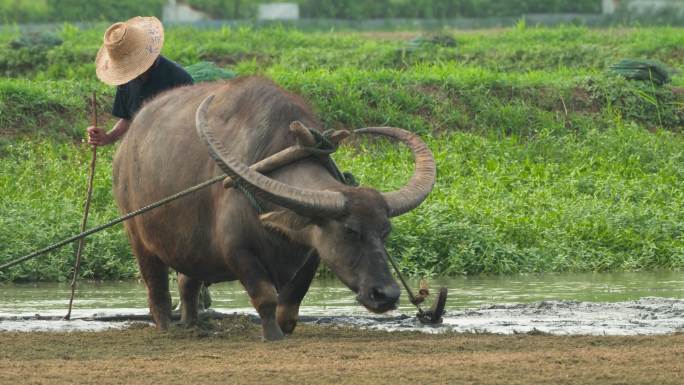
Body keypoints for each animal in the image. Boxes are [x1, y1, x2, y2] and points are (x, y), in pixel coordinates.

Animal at [111, 76, 432, 340]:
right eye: (350, 231)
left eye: (385, 231)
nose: (386, 294)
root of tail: (126, 146)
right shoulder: (239, 251)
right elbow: (265, 296)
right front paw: (272, 335)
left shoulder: (311, 251)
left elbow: (290, 304)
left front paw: (284, 327)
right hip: (137, 235)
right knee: (157, 289)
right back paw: (166, 327)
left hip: (189, 245)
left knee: (187, 282)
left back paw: (194, 325)